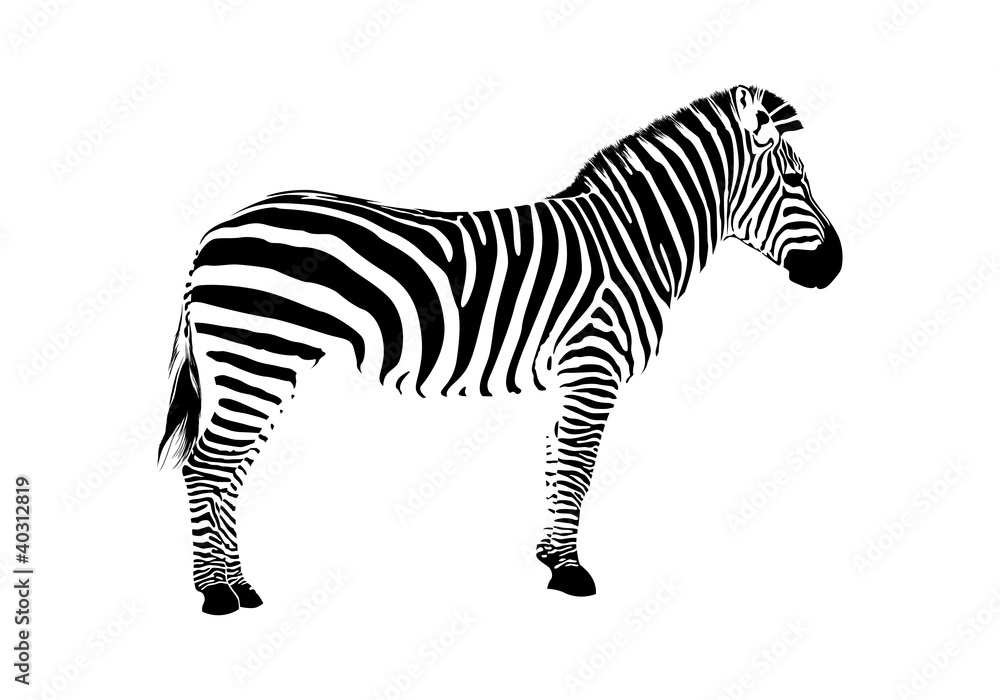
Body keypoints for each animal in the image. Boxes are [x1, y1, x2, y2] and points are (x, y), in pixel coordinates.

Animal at [159, 85, 842, 615]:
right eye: (794, 182)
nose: (834, 266)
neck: (630, 242)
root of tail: (216, 229)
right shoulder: (594, 363)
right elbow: (578, 466)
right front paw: (569, 571)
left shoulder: (573, 373)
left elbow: (557, 463)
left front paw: (550, 559)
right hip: (258, 356)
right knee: (208, 467)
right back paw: (218, 593)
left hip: (255, 363)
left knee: (226, 469)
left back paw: (236, 585)